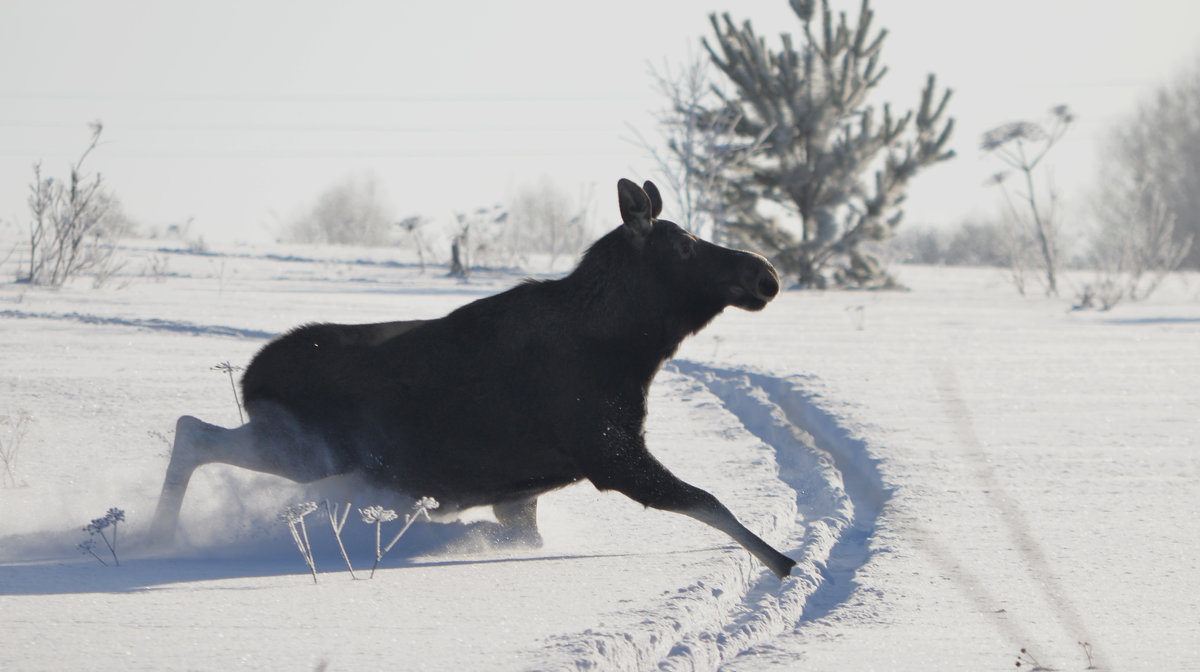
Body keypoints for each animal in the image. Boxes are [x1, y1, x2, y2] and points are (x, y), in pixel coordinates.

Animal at [154, 178, 801, 578]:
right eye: (686, 247)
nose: (766, 273)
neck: (631, 348)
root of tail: (252, 377)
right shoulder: (610, 453)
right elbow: (710, 502)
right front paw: (784, 562)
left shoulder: (524, 487)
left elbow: (525, 537)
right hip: (306, 449)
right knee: (192, 432)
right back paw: (155, 536)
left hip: (308, 453)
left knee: (194, 430)